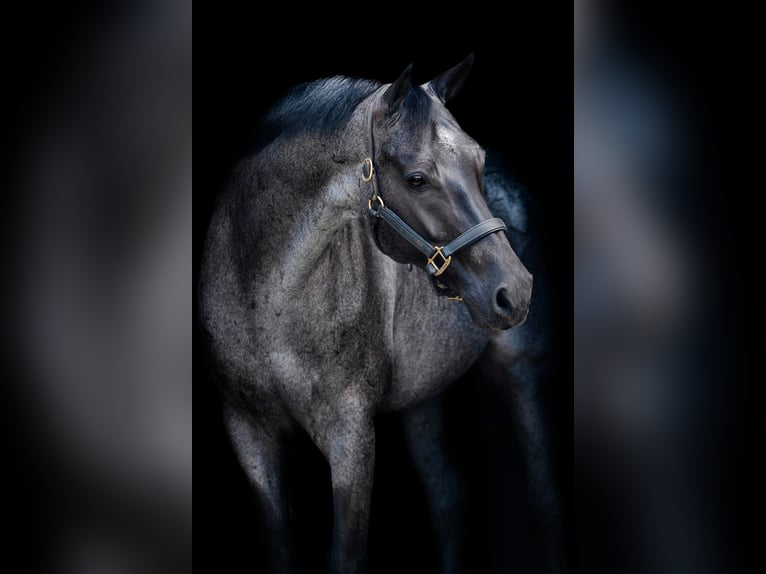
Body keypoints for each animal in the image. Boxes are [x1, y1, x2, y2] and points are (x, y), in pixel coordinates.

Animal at [199, 56, 538, 573]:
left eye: (477, 162)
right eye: (417, 178)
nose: (515, 291)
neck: (266, 298)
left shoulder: (351, 436)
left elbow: (347, 555)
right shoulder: (248, 431)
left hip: (521, 371)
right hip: (424, 397)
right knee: (448, 500)